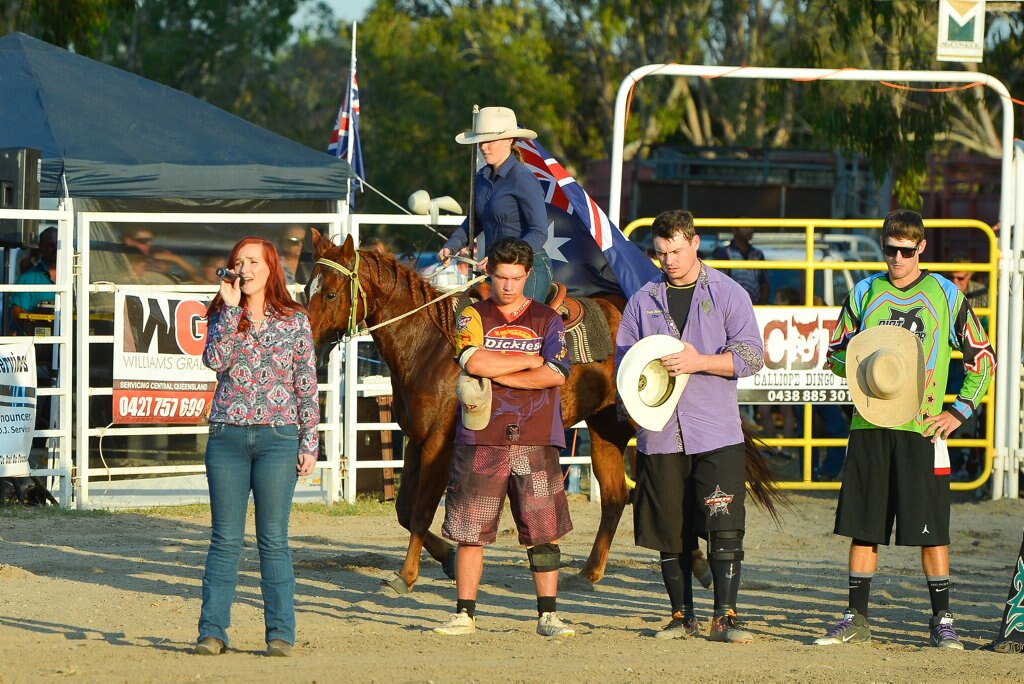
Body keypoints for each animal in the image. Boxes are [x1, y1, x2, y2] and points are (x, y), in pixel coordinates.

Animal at [305, 231, 782, 593]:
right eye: (305, 287)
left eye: (329, 292)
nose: (308, 342)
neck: (432, 346)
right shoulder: (416, 440)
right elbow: (404, 510)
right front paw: (449, 560)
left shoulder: (439, 442)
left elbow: (421, 511)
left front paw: (404, 577)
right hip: (605, 428)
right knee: (615, 496)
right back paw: (590, 574)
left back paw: (693, 565)